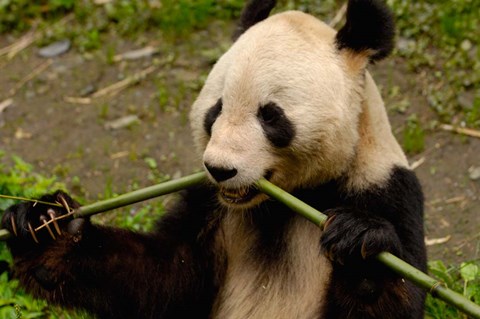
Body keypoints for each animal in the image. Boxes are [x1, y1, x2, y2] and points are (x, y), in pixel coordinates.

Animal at [1, 0, 426, 318]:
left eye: (270, 116)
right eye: (215, 110)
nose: (220, 169)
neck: (284, 203)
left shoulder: (383, 187)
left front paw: (360, 246)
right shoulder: (208, 203)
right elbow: (162, 279)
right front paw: (45, 225)